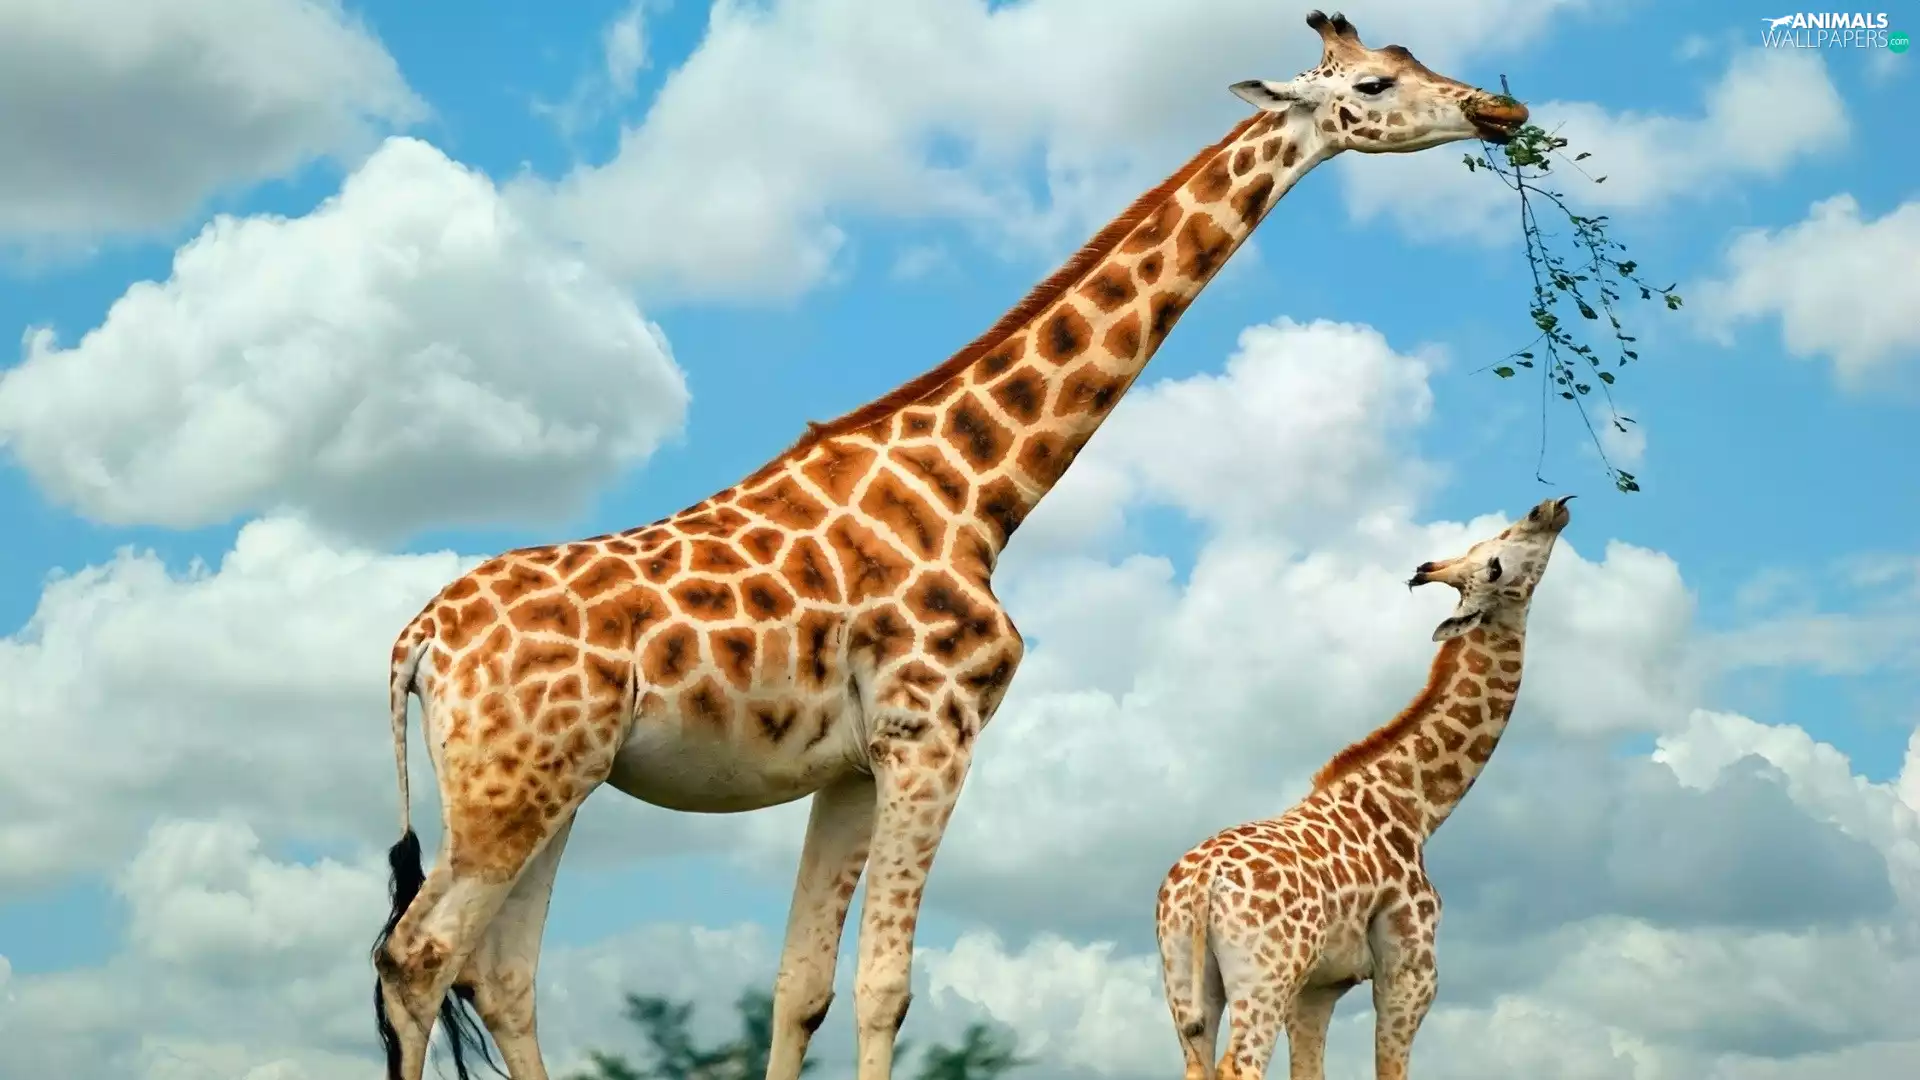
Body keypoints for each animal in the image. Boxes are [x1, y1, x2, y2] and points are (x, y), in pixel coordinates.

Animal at [367, 12, 1532, 1080]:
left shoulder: (851, 763)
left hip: (553, 783)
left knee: (500, 973)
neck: (981, 494)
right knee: (417, 957)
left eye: (1416, 55)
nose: (1500, 110)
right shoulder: (935, 733)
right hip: (513, 789)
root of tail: (417, 642)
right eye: (1374, 83)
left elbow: (801, 986)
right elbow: (886, 986)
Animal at [1152, 496, 1575, 1080]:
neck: (1415, 808)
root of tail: (1199, 886)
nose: (1548, 508)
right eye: (1494, 563)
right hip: (1265, 976)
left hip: (1185, 982)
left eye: (1485, 546)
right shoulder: (1410, 973)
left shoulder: (1318, 988)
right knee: (1239, 1065)